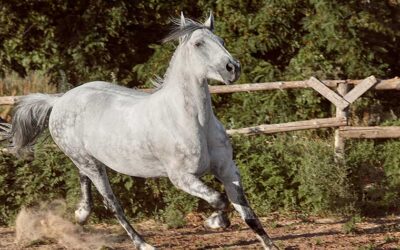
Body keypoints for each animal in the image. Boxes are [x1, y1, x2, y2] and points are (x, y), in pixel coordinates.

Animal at [2, 13, 278, 250]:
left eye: (221, 41)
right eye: (198, 43)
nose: (233, 68)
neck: (191, 120)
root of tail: (59, 100)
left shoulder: (228, 170)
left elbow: (248, 213)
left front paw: (269, 244)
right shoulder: (181, 178)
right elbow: (219, 200)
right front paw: (214, 222)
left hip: (89, 160)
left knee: (83, 178)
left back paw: (81, 214)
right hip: (89, 162)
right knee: (113, 204)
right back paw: (142, 243)